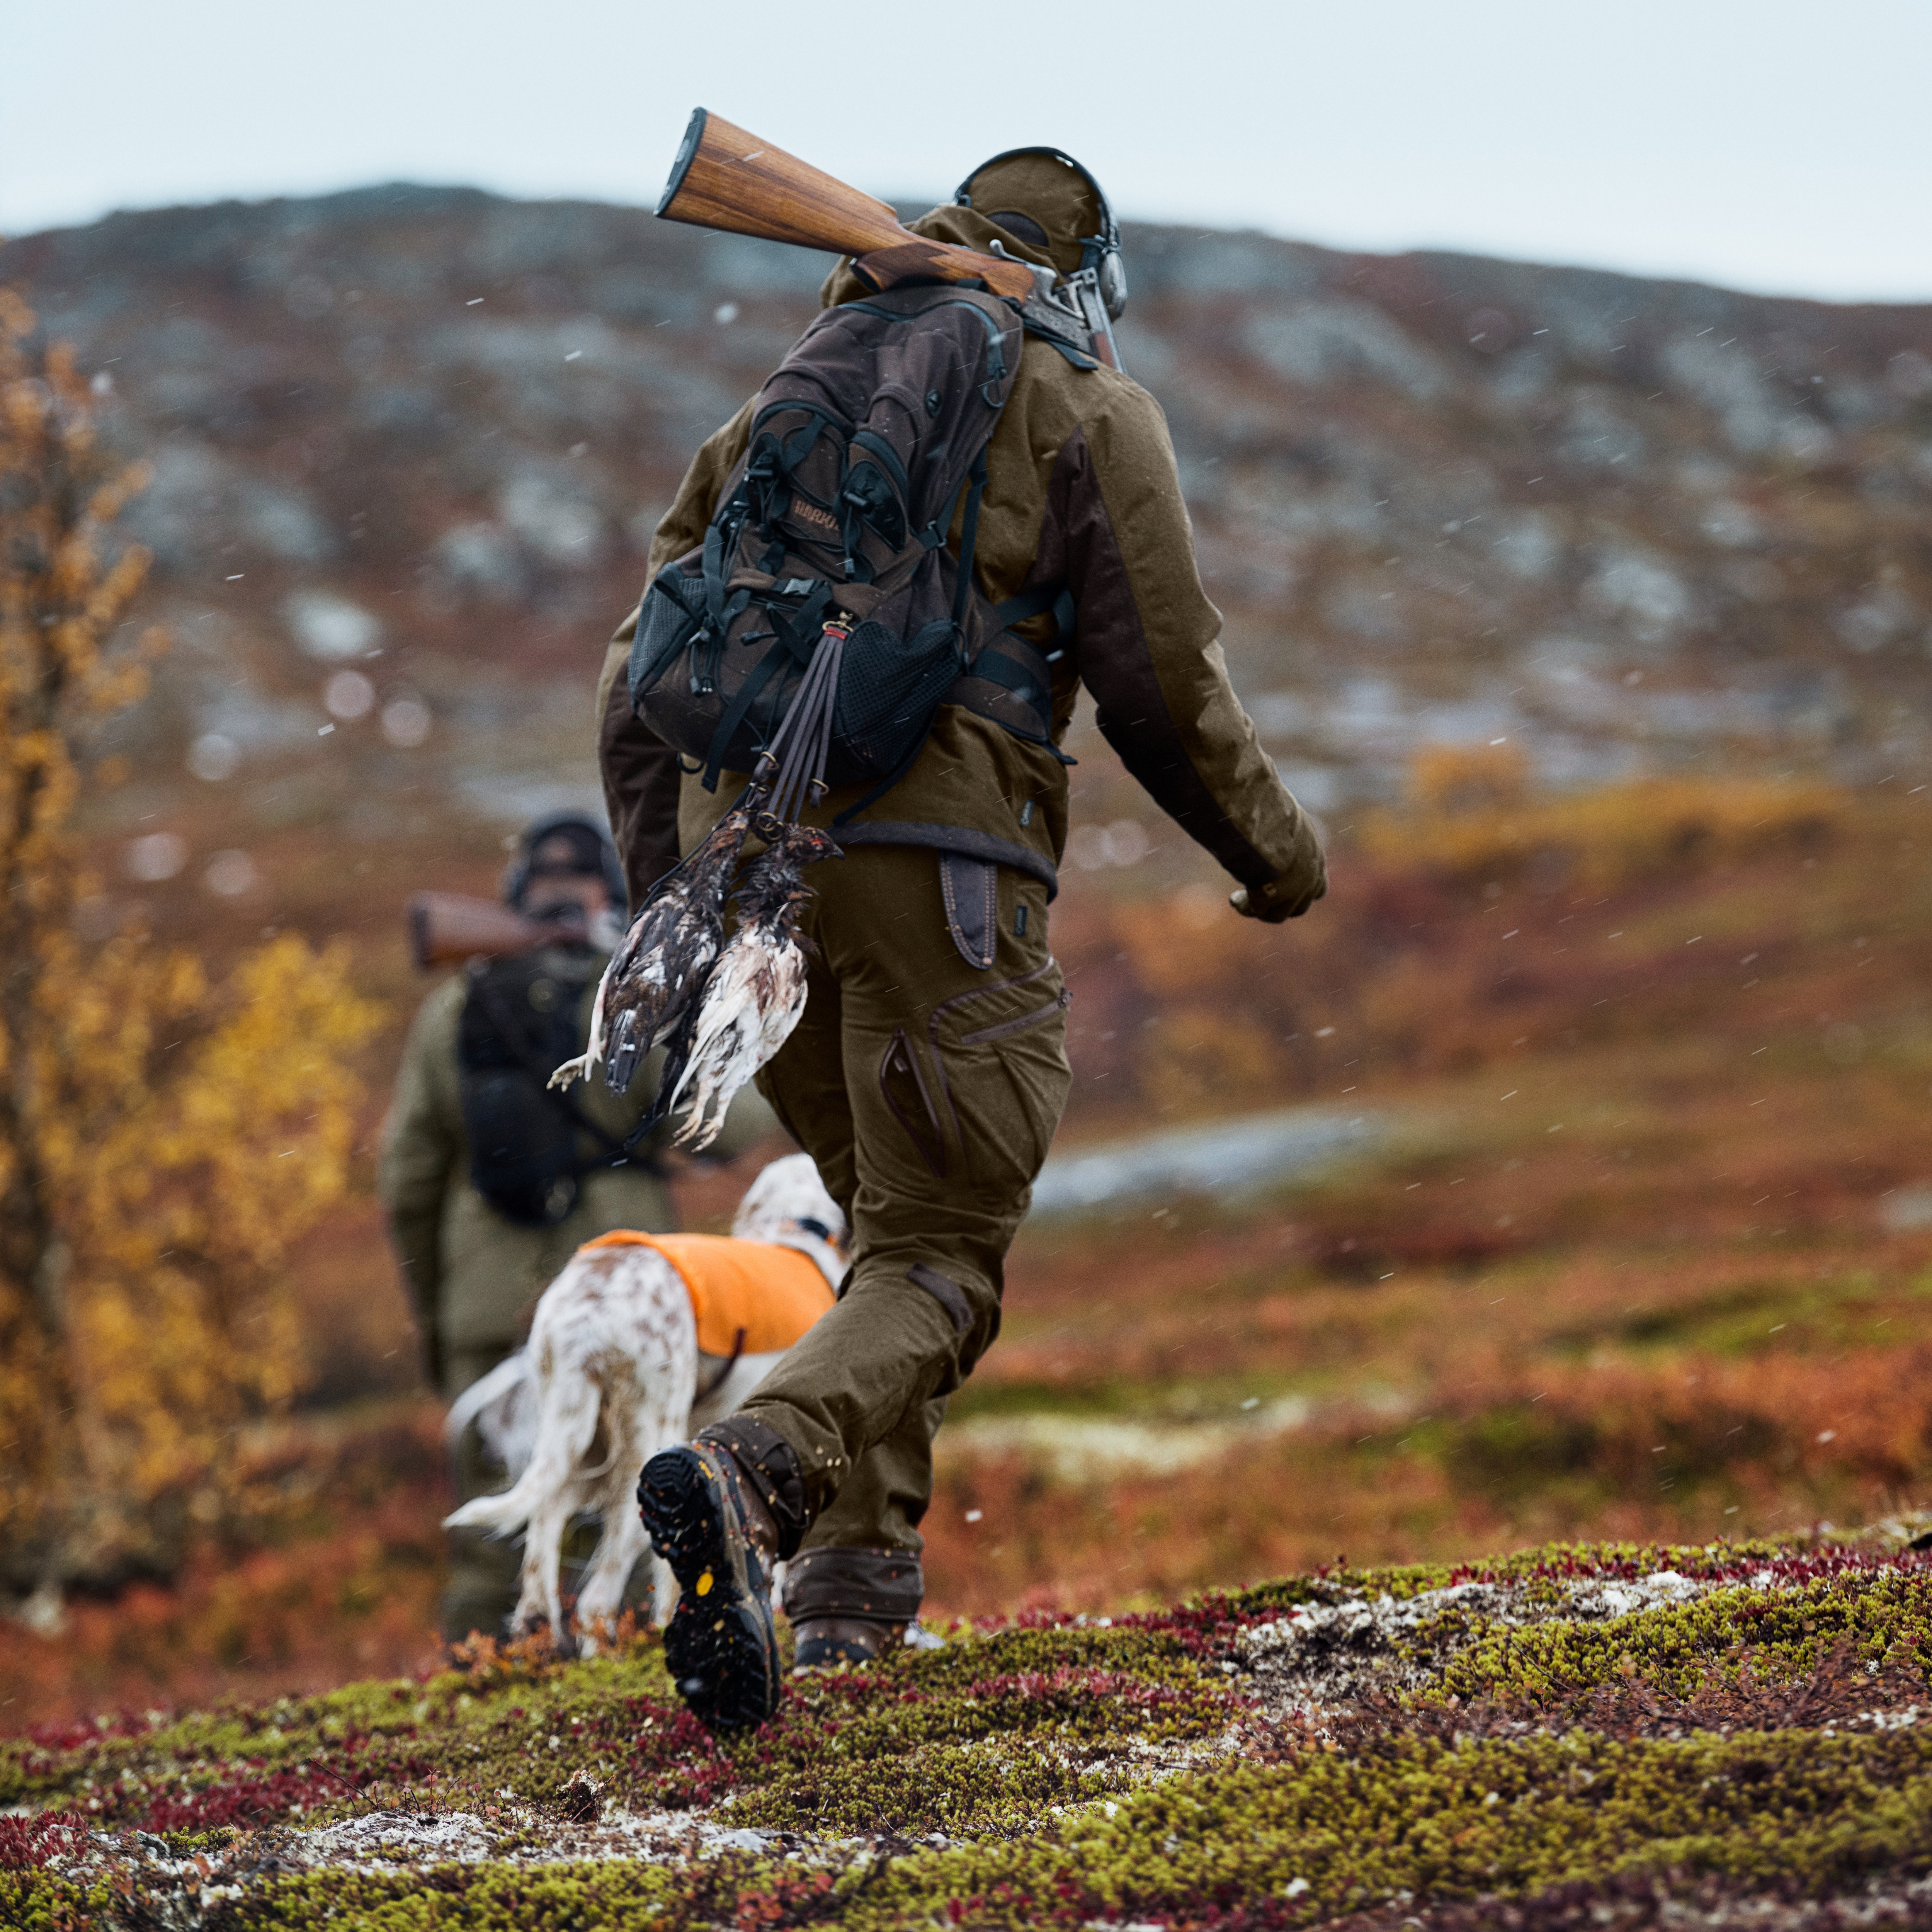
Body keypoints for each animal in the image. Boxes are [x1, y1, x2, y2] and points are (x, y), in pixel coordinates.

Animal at [452, 1151, 854, 1654]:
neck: (792, 1229)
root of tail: (590, 1312)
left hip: (580, 1439)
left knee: (542, 1548)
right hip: (644, 1447)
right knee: (596, 1596)